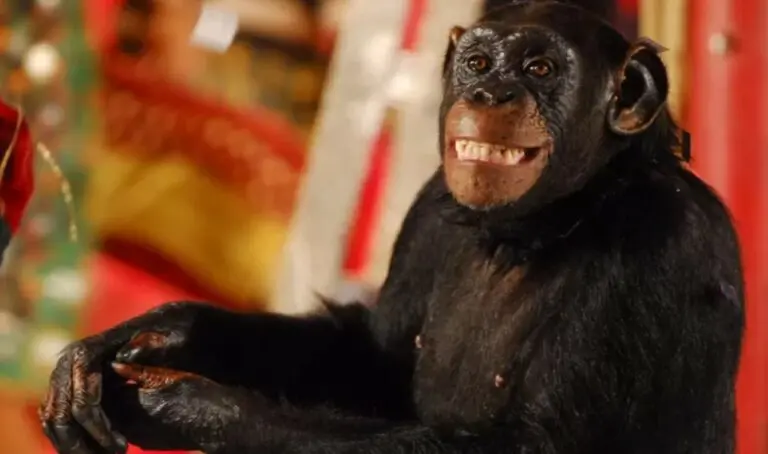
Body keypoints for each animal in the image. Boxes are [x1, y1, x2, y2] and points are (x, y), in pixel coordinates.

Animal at [40, 2, 743, 453]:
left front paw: (186, 407)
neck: (543, 224)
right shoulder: (425, 214)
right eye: (479, 63)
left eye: (540, 69)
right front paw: (162, 333)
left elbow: (534, 445)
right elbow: (368, 363)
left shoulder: (659, 245)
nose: (490, 94)